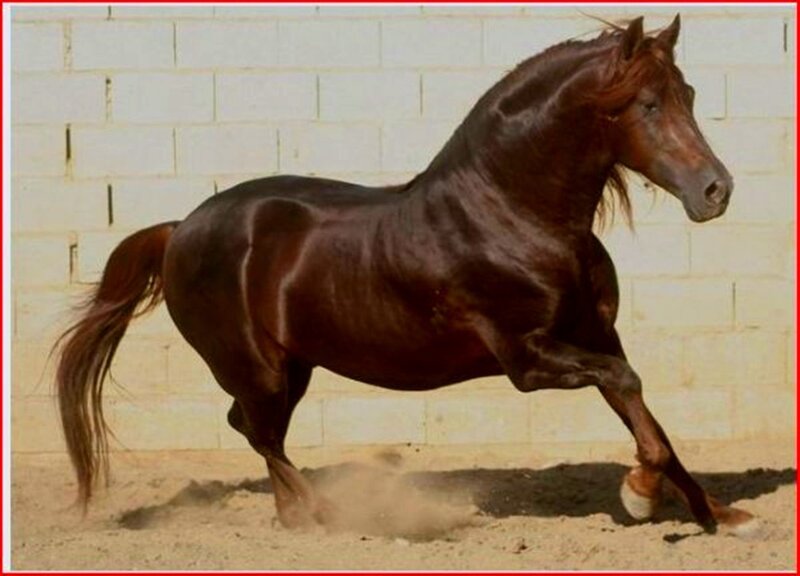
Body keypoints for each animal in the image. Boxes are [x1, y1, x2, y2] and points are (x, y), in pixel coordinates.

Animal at [54, 15, 757, 535]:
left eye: (689, 96)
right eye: (647, 103)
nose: (716, 191)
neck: (509, 211)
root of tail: (179, 228)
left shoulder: (596, 336)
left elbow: (645, 412)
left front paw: (723, 516)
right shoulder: (527, 359)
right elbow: (630, 392)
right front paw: (639, 495)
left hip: (292, 366)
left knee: (253, 428)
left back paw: (296, 519)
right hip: (256, 365)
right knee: (257, 431)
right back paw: (329, 514)